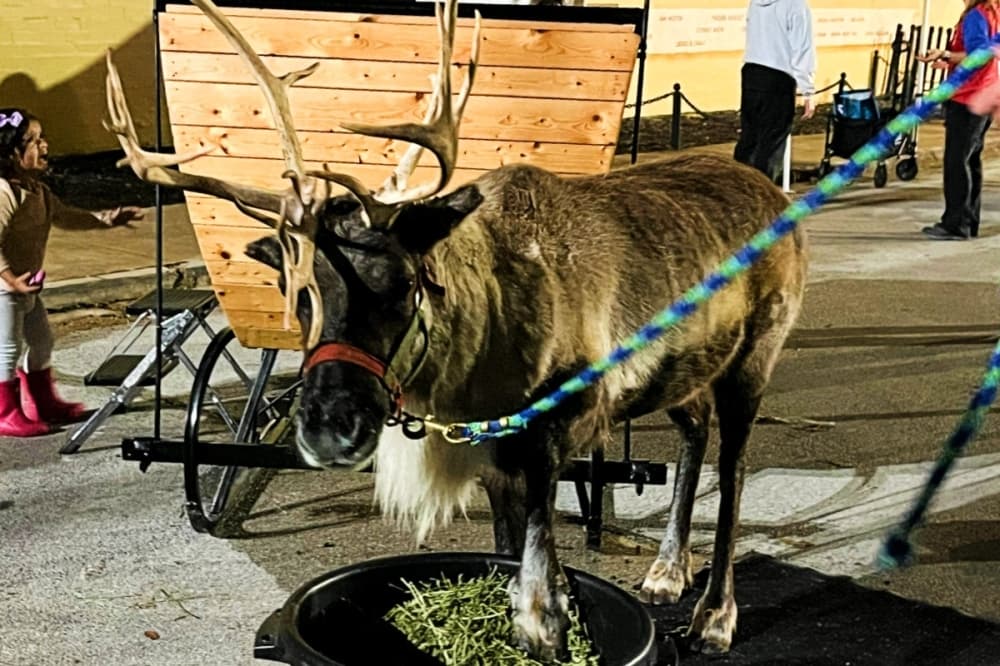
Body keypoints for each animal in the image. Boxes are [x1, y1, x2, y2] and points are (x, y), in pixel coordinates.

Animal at [104, 0, 807, 658]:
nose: (331, 428)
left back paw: (713, 617)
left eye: (404, 282)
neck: (480, 357)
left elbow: (539, 552)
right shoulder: (493, 448)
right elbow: (506, 544)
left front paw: (544, 626)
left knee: (734, 466)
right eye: (296, 293)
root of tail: (775, 193)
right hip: (687, 370)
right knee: (695, 430)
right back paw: (667, 571)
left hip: (756, 355)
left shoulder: (559, 421)